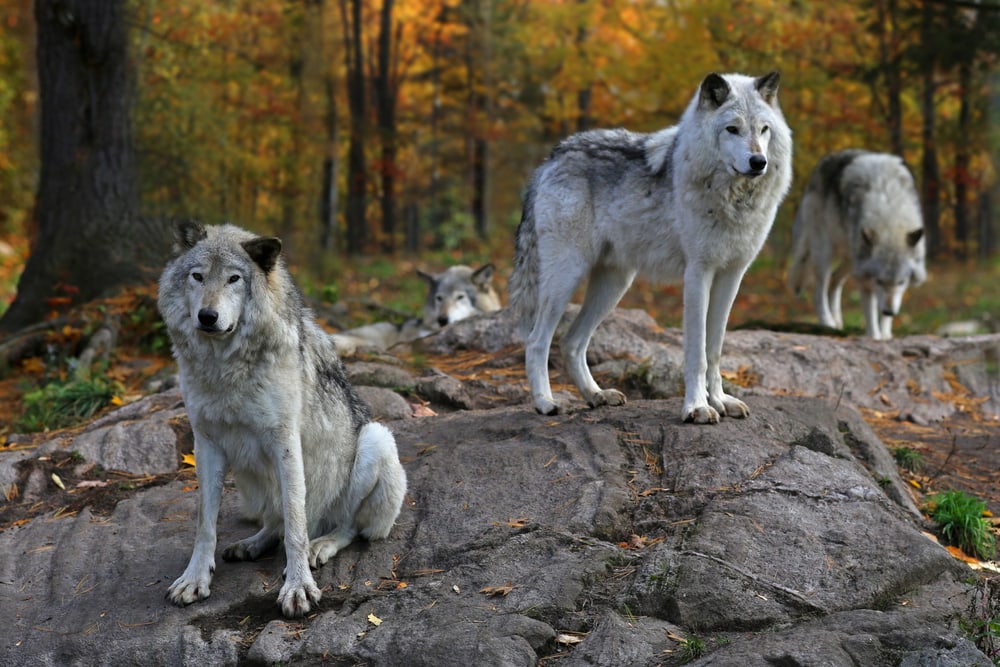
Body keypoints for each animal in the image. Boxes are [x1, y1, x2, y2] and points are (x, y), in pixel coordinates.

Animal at [158, 220, 407, 618]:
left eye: (234, 279)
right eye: (197, 276)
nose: (207, 317)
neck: (225, 368)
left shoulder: (285, 441)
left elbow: (295, 527)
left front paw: (298, 586)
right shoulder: (206, 443)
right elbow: (205, 524)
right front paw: (195, 580)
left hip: (375, 439)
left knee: (345, 527)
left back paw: (321, 544)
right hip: (249, 485)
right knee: (273, 522)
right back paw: (252, 544)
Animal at [509, 72, 792, 424]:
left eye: (764, 129)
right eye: (732, 129)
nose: (758, 162)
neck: (732, 198)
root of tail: (551, 157)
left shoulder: (732, 276)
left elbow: (714, 350)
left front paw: (721, 401)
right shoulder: (698, 274)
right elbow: (696, 352)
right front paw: (697, 407)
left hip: (614, 285)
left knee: (571, 342)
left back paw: (597, 395)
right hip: (567, 276)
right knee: (537, 341)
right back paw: (545, 403)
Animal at [787, 149, 926, 340]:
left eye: (901, 282)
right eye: (879, 281)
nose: (889, 311)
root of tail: (824, 162)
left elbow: (883, 315)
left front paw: (886, 335)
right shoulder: (868, 281)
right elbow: (870, 312)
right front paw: (874, 336)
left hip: (851, 260)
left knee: (835, 281)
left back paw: (838, 321)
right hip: (825, 255)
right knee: (819, 290)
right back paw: (827, 321)